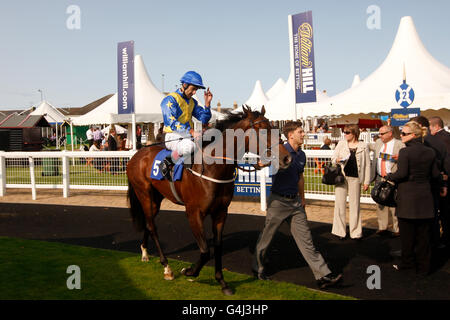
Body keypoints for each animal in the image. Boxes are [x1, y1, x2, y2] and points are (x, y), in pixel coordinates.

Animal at [125, 105, 292, 296]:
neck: (213, 168)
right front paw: (189, 271)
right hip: (144, 193)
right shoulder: (193, 213)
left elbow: (217, 246)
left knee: (148, 222)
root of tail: (137, 154)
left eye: (275, 127)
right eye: (262, 130)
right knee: (152, 226)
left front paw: (222, 282)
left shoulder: (220, 212)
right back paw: (166, 267)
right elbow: (205, 250)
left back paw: (145, 252)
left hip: (156, 198)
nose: (286, 158)